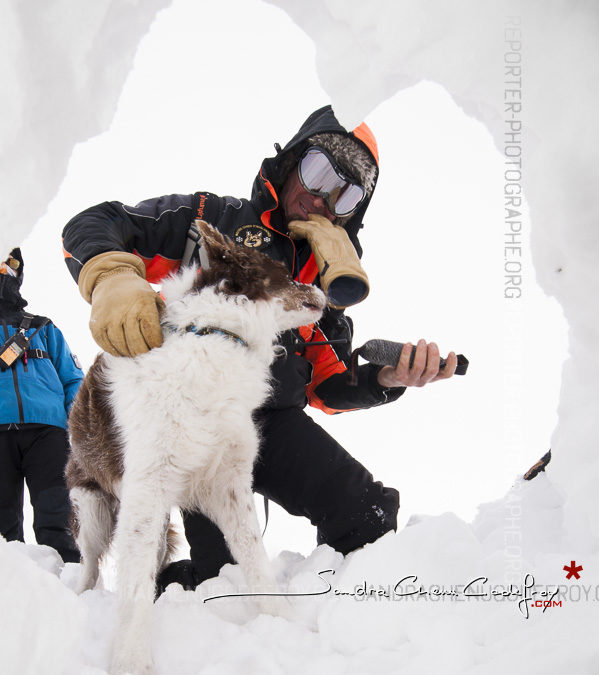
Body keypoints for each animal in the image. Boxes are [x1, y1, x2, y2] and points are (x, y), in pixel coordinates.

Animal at [67, 223, 328, 675]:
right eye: (281, 269)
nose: (322, 289)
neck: (215, 336)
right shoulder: (146, 489)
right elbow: (133, 587)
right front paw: (132, 660)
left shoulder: (228, 483)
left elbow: (254, 558)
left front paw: (284, 623)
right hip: (94, 507)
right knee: (90, 562)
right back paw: (81, 597)